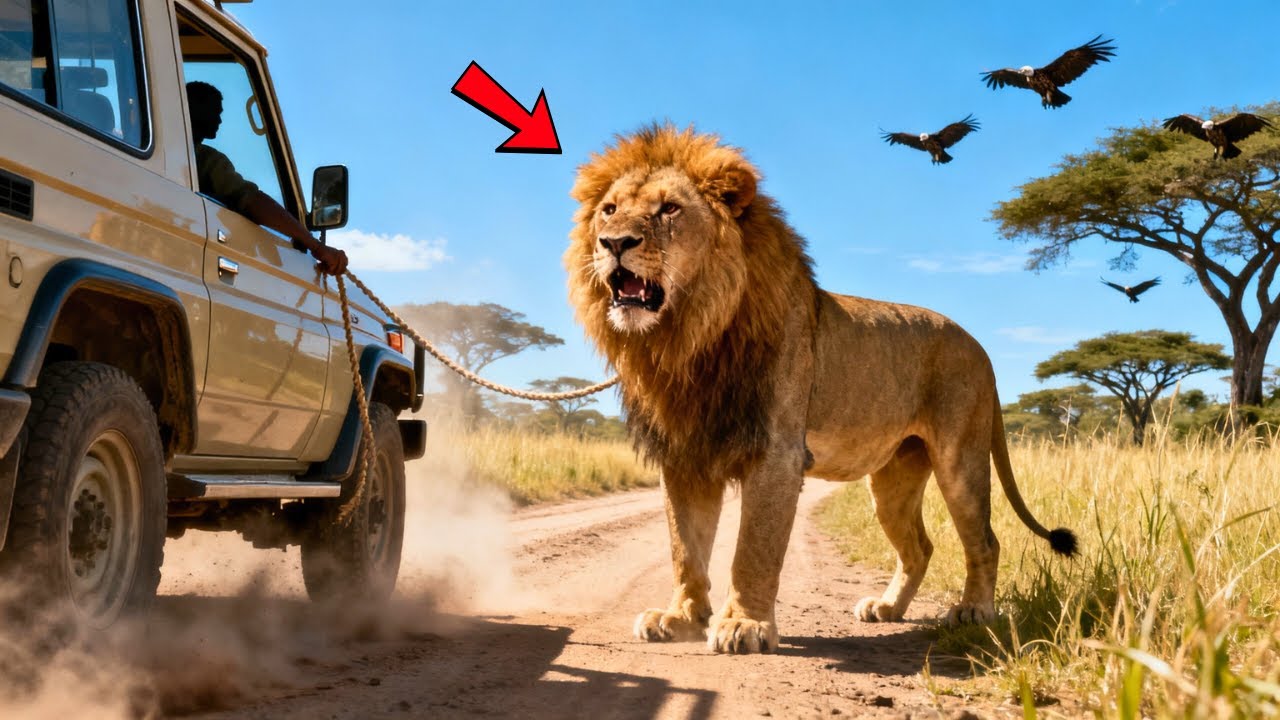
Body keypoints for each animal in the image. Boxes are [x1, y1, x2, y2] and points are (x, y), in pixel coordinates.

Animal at [564, 124, 1076, 654]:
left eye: (669, 209)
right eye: (609, 209)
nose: (613, 242)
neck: (686, 337)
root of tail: (979, 346)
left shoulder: (776, 452)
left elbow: (753, 550)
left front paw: (744, 624)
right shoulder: (686, 453)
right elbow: (685, 548)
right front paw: (682, 618)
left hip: (961, 459)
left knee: (985, 539)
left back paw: (974, 611)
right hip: (893, 480)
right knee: (919, 546)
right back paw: (887, 608)